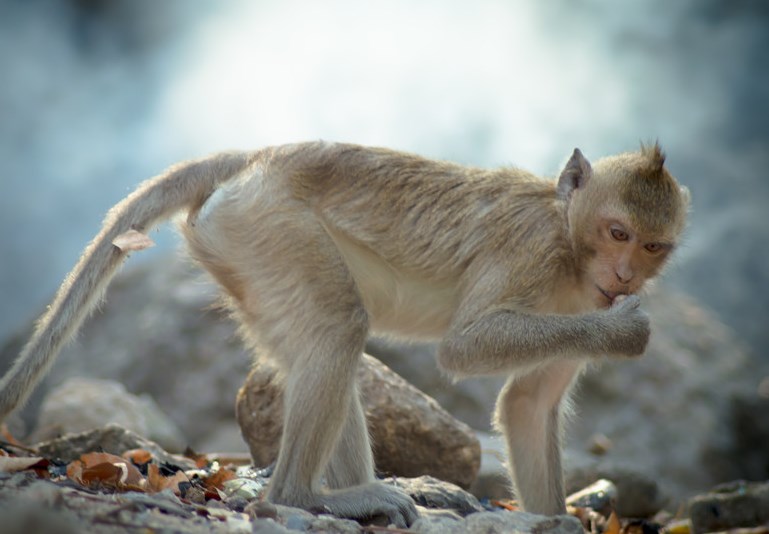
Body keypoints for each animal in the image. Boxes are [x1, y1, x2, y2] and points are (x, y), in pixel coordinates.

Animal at [0, 141, 684, 528]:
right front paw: (626, 331)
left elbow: (528, 403)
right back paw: (304, 499)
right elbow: (464, 346)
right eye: (617, 233)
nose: (626, 275)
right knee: (337, 329)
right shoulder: (532, 251)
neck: (570, 245)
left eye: (652, 246)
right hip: (272, 224)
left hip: (243, 250)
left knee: (316, 344)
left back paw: (366, 491)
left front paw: (553, 520)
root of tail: (257, 157)